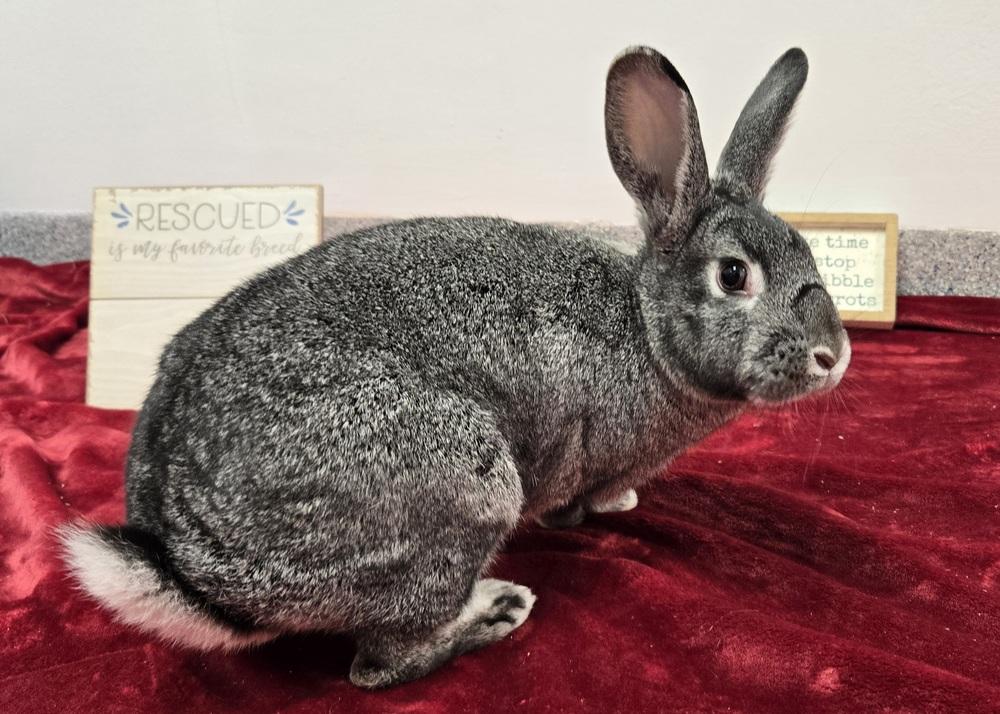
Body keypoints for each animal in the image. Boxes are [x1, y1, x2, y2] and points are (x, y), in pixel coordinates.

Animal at [60, 45, 850, 689]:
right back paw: (497, 609)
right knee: (379, 664)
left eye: (806, 251)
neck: (646, 330)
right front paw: (603, 508)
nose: (833, 357)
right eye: (733, 275)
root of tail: (202, 571)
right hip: (462, 489)